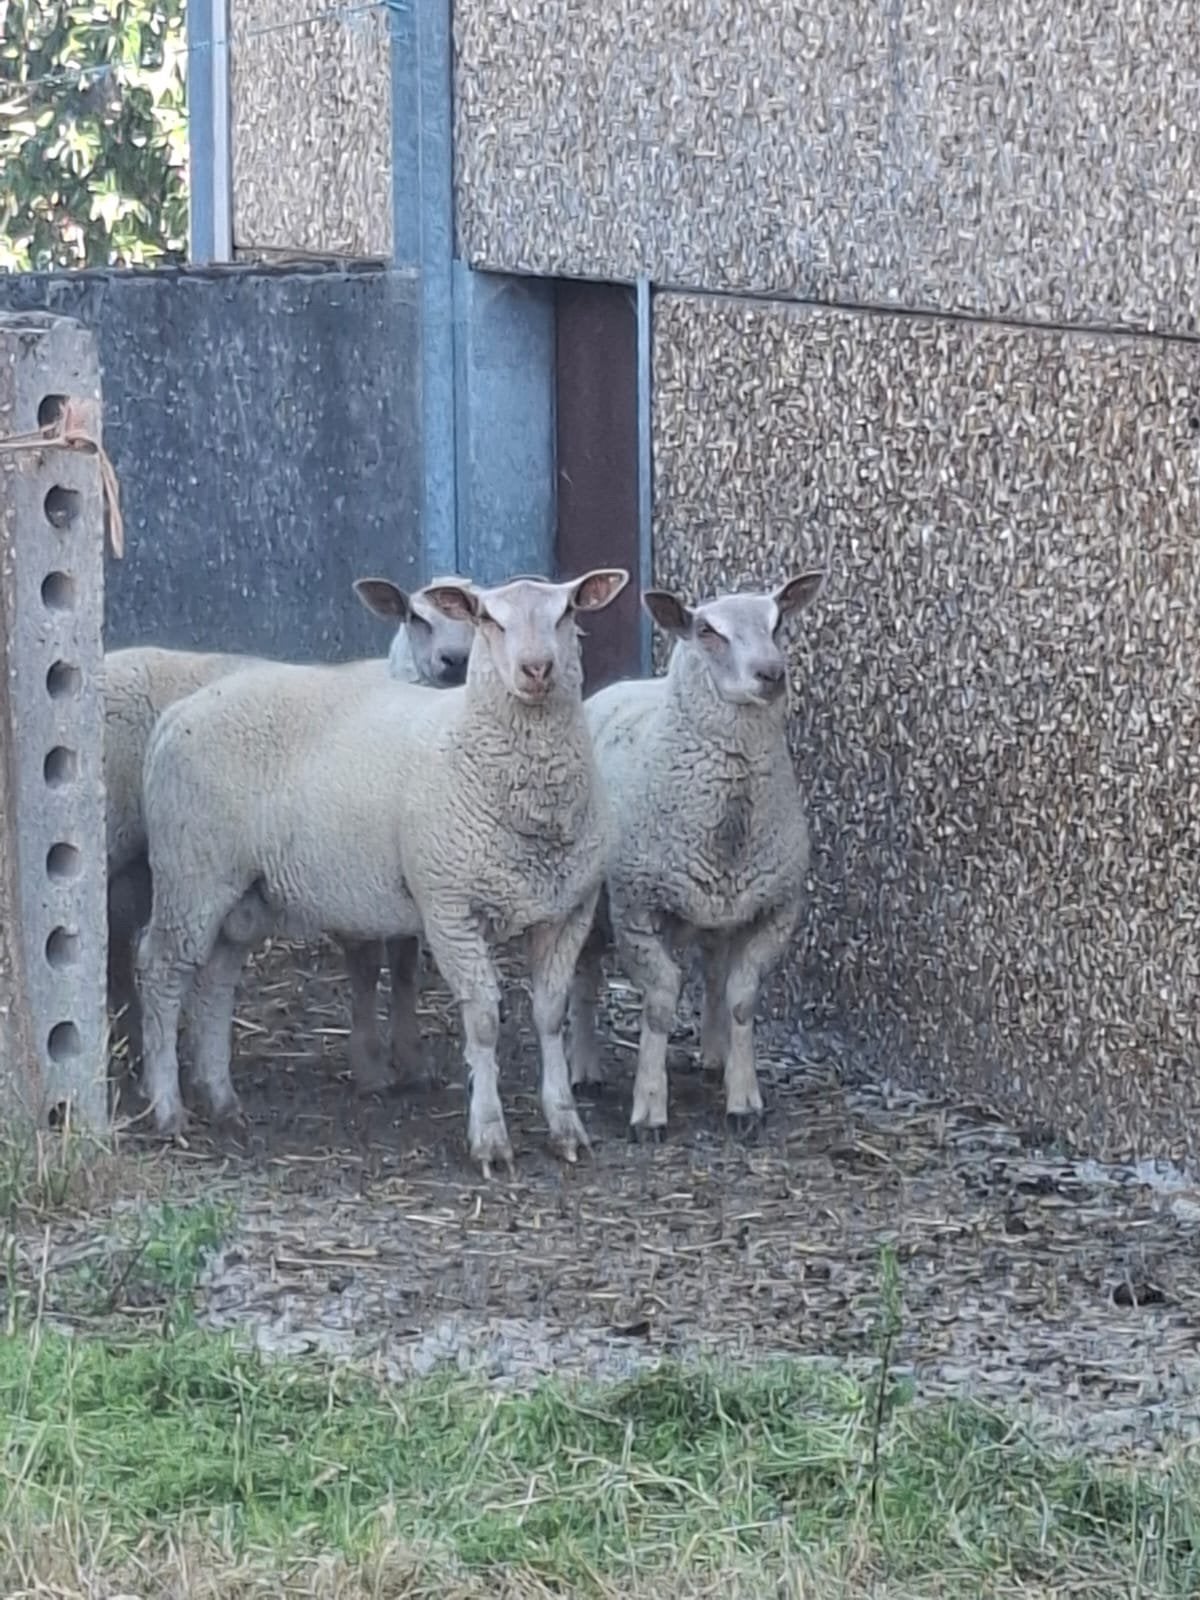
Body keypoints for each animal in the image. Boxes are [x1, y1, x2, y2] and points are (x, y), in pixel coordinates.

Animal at [103, 578, 473, 1093]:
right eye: (416, 618)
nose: (455, 662)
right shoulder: (350, 870)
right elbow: (366, 966)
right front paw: (372, 1066)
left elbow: (403, 968)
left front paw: (412, 1059)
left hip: (146, 865)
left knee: (117, 945)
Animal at [567, 571, 826, 1139]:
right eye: (707, 631)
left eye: (778, 621)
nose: (772, 674)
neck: (731, 822)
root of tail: (621, 685)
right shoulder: (636, 909)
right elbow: (661, 1004)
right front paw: (649, 1109)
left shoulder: (775, 908)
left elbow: (742, 998)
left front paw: (744, 1100)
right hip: (595, 905)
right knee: (585, 977)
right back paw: (585, 1067)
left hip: (719, 907)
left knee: (712, 973)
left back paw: (714, 1057)